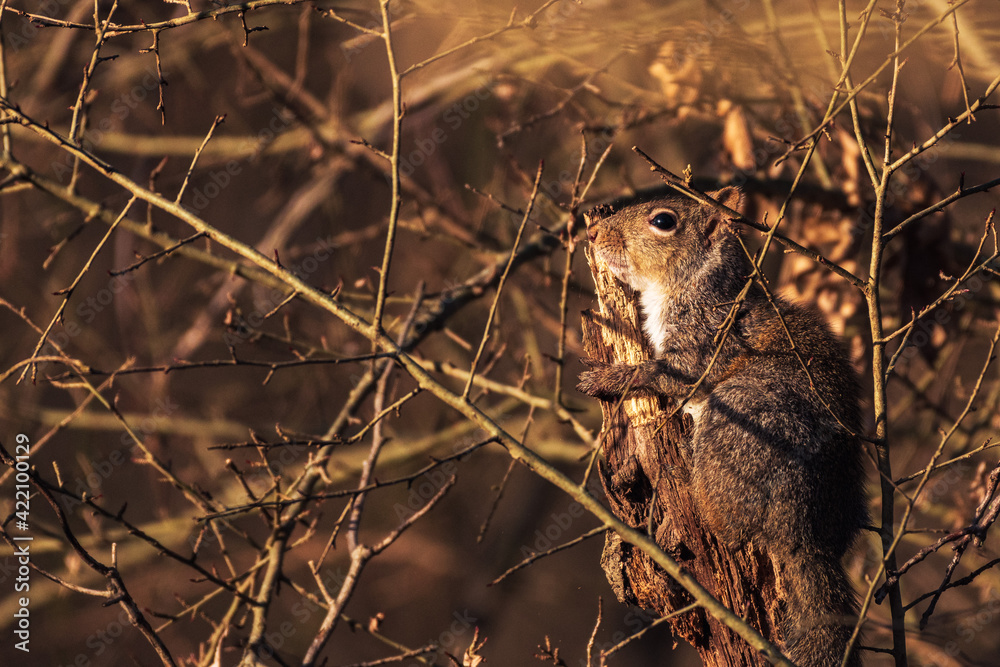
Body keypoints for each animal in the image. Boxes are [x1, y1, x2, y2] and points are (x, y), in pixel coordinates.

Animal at [578, 187, 868, 667]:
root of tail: (803, 526)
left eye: (663, 221)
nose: (593, 232)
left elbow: (660, 373)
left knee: (722, 524)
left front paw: (608, 377)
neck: (693, 283)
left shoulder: (705, 342)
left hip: (744, 413)